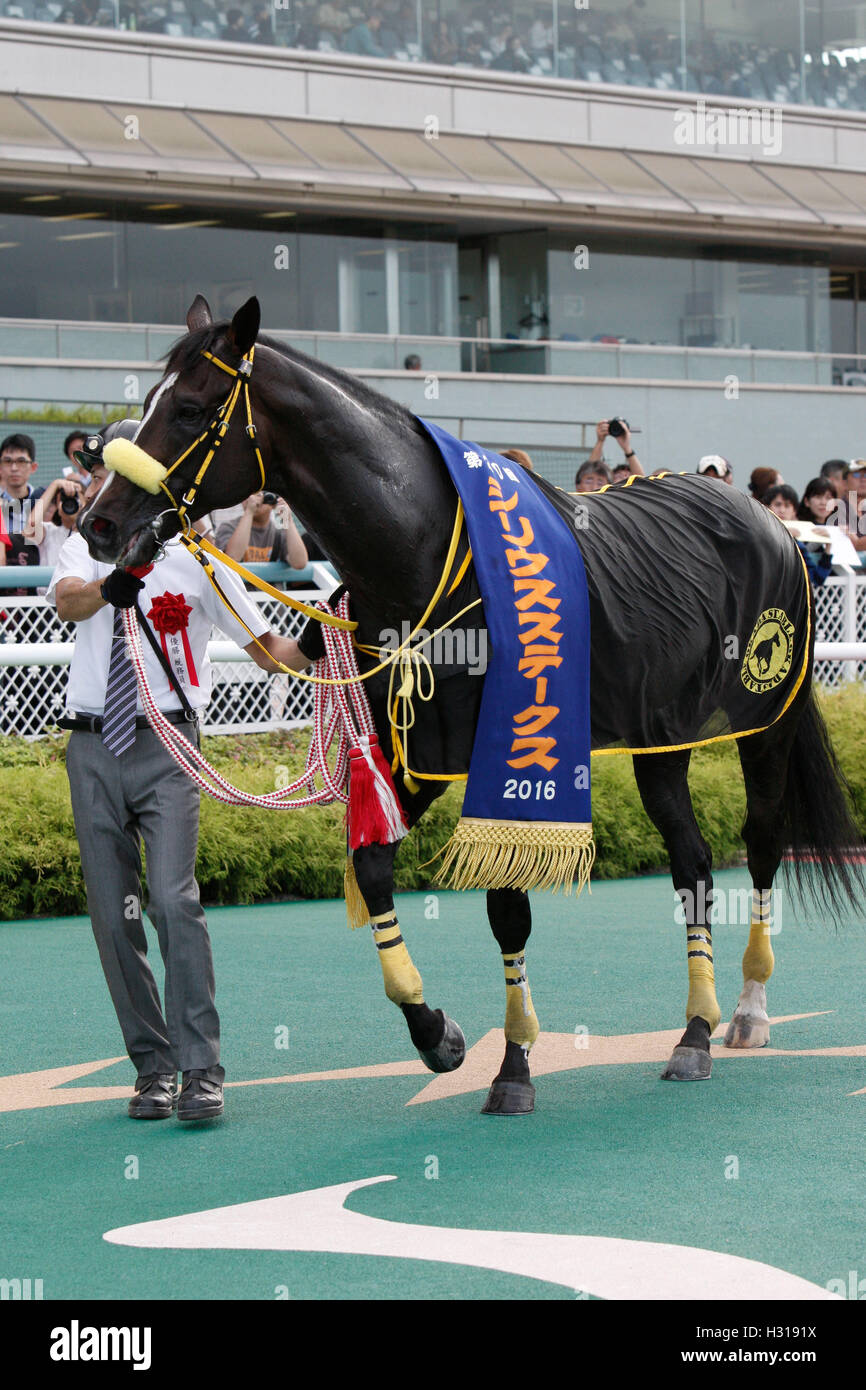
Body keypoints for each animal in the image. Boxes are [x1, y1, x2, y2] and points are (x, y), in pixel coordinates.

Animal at [79, 294, 863, 1114]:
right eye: (145, 403)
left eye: (191, 410)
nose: (99, 523)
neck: (427, 558)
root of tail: (766, 517)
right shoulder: (416, 751)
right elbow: (373, 865)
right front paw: (438, 1034)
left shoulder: (509, 749)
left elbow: (505, 905)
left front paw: (513, 1067)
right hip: (662, 737)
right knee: (694, 861)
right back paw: (695, 1031)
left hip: (764, 722)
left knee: (763, 843)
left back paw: (745, 1011)